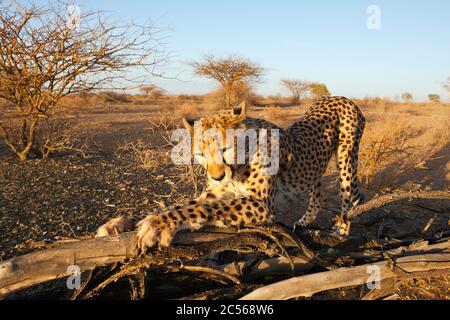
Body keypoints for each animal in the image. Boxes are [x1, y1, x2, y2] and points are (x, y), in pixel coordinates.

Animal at [97, 96, 366, 251]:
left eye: (225, 149)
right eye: (201, 154)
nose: (217, 177)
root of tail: (339, 96)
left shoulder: (260, 204)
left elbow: (203, 208)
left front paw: (157, 225)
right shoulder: (215, 193)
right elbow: (184, 204)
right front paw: (120, 223)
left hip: (346, 162)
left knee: (347, 201)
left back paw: (340, 234)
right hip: (314, 169)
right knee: (318, 194)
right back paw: (302, 222)